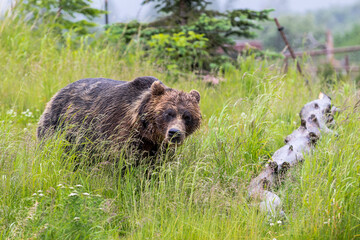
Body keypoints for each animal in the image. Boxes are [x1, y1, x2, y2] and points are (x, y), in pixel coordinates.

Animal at [37, 76, 201, 158]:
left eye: (187, 116)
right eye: (168, 113)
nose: (175, 133)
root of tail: (60, 90)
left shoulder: (159, 146)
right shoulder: (120, 131)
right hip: (58, 124)